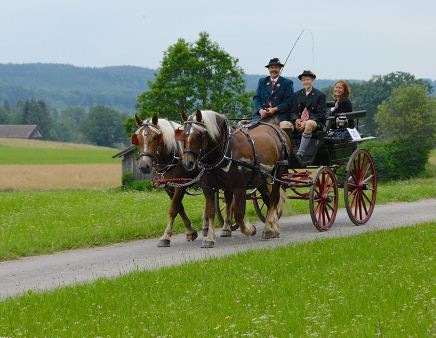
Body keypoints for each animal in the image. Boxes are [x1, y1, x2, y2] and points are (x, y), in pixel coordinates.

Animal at [179, 110, 292, 248]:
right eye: (184, 133)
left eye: (200, 134)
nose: (187, 163)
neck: (225, 150)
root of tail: (278, 129)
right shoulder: (208, 187)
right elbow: (211, 212)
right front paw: (209, 238)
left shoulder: (239, 187)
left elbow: (238, 214)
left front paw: (250, 230)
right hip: (261, 179)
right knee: (268, 199)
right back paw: (273, 228)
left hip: (277, 174)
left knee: (274, 198)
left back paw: (267, 229)